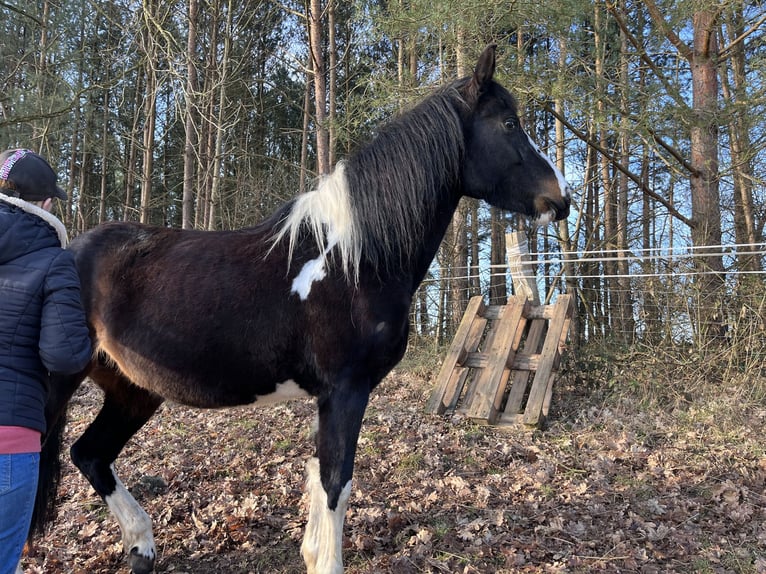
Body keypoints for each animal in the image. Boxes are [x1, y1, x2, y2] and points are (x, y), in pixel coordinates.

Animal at [32, 45, 570, 574]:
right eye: (508, 122)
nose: (560, 199)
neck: (353, 259)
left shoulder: (328, 396)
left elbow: (318, 477)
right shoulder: (346, 390)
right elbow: (335, 483)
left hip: (133, 389)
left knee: (89, 454)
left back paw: (141, 548)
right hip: (60, 385)